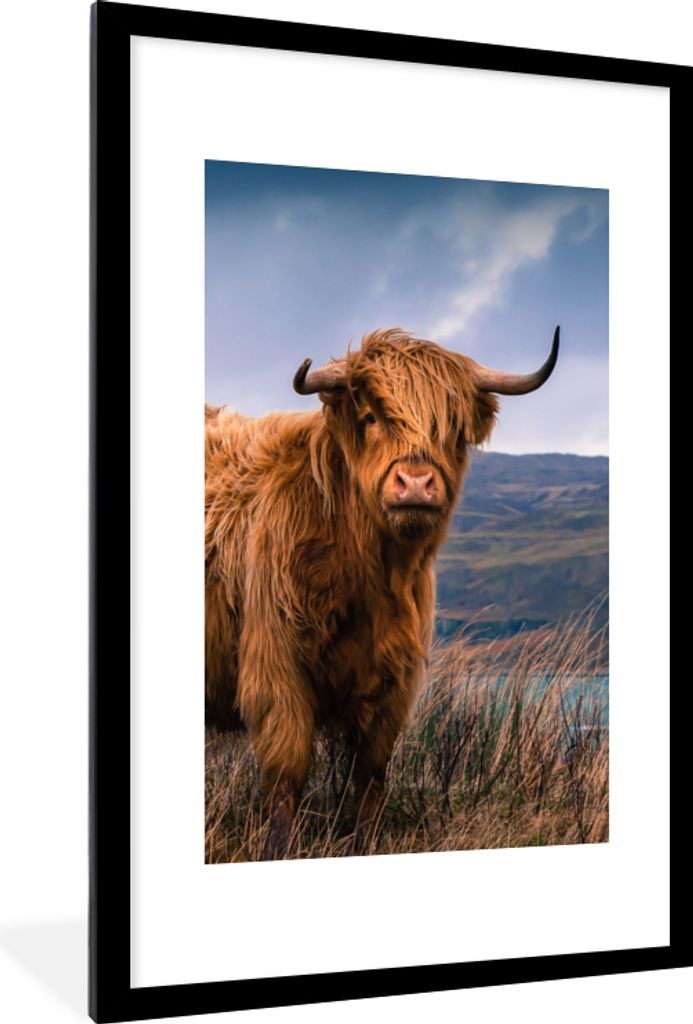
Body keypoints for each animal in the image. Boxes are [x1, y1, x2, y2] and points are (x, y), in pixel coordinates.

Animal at [205, 326, 560, 857]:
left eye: (451, 427)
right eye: (371, 417)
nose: (415, 483)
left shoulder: (395, 677)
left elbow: (371, 772)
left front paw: (368, 842)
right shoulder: (276, 664)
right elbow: (287, 770)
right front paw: (279, 849)